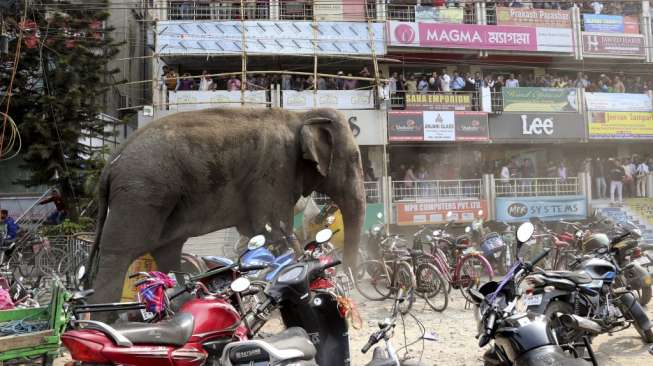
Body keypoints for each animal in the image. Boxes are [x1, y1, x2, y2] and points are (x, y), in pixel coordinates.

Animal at [85, 106, 366, 306]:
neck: (300, 116)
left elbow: (258, 233)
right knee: (119, 254)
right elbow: (275, 230)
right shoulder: (274, 170)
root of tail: (110, 164)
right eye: (354, 158)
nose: (353, 281)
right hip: (140, 194)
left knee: (168, 252)